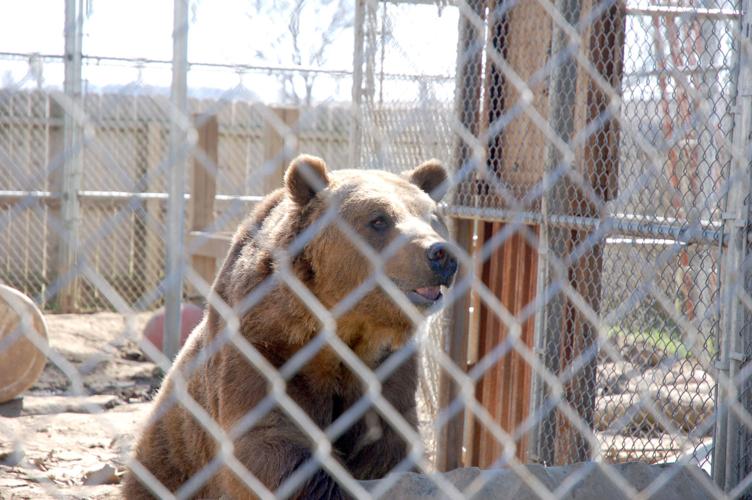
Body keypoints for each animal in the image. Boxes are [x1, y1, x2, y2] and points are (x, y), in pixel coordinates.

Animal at [123, 154, 458, 499]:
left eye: (433, 217)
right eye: (379, 219)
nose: (440, 253)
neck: (343, 327)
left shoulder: (386, 366)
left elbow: (387, 445)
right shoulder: (266, 348)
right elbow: (270, 441)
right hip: (172, 457)